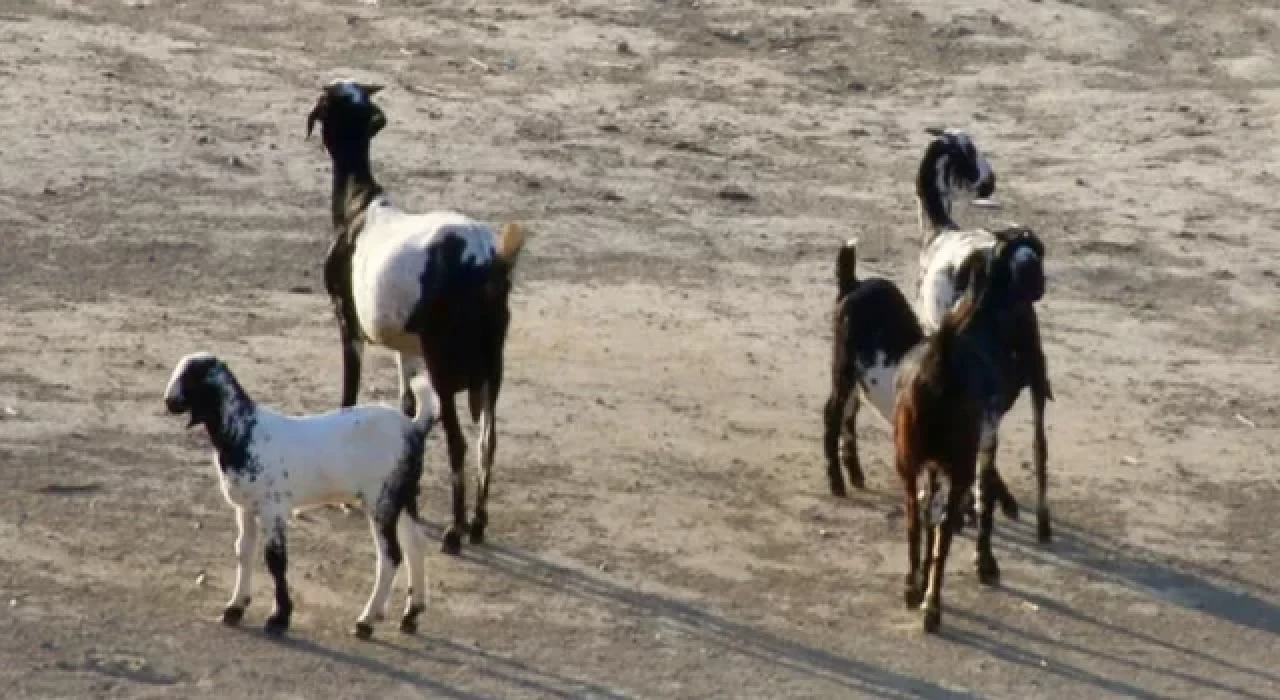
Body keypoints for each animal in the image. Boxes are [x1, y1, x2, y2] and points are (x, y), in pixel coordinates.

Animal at [161, 350, 435, 639]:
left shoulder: (273, 508)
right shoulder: (245, 507)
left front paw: (279, 617)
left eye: (193, 376)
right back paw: (411, 614)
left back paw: (366, 621)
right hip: (404, 495)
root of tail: (415, 428)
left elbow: (275, 559)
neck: (245, 432)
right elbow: (244, 550)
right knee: (416, 544)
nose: (169, 401)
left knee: (391, 556)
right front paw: (235, 607)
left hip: (381, 500)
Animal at [307, 79, 527, 555]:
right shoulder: (406, 348)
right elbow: (408, 407)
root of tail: (486, 262)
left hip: (445, 365)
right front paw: (412, 497)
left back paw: (455, 532)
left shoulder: (348, 325)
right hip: (492, 366)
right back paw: (477, 523)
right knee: (488, 439)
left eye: (327, 105)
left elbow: (348, 396)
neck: (359, 206)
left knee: (459, 442)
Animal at [896, 236, 1024, 634]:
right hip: (960, 468)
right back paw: (932, 607)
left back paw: (913, 589)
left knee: (915, 525)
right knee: (943, 539)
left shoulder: (932, 469)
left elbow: (927, 519)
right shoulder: (983, 449)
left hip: (908, 467)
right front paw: (986, 563)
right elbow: (981, 509)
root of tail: (941, 363)